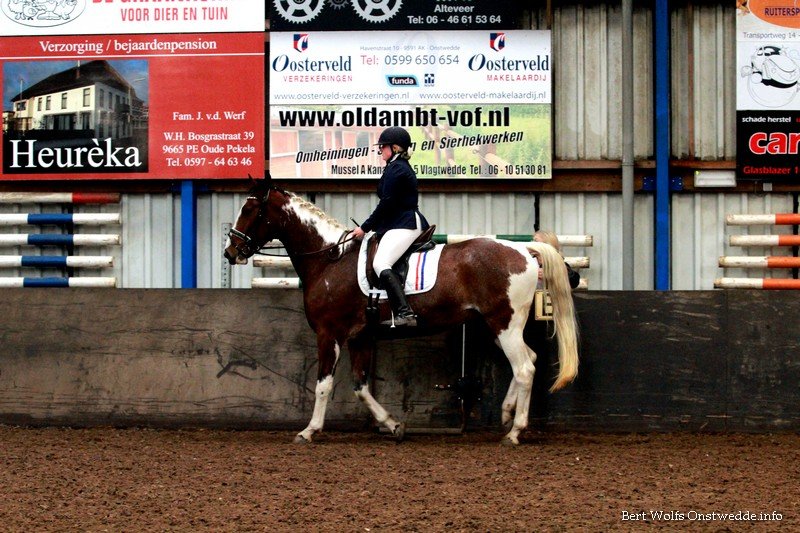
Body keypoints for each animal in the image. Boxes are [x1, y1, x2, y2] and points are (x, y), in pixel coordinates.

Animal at [224, 178, 579, 445]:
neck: (330, 259)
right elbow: (360, 387)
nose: (230, 251)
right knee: (529, 360)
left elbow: (323, 384)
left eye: (250, 209)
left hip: (504, 324)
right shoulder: (360, 336)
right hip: (499, 326)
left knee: (525, 369)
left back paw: (515, 432)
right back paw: (507, 413)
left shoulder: (329, 333)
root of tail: (524, 250)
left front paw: (309, 431)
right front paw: (393, 425)